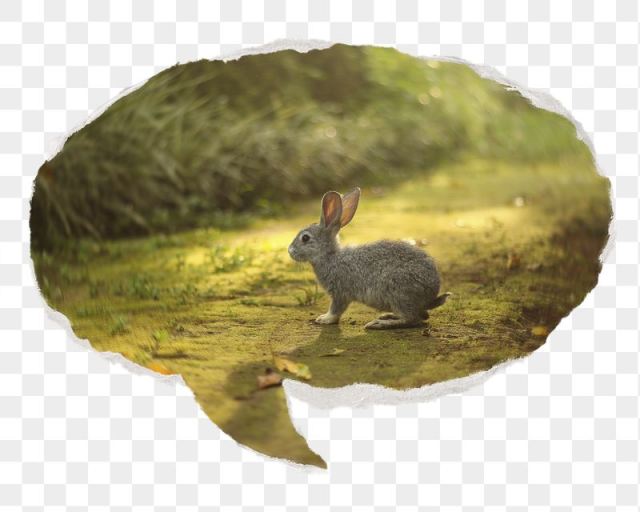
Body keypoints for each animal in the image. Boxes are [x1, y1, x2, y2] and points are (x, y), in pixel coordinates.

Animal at [288, 187, 450, 330]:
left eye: (305, 238)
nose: (290, 251)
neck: (330, 256)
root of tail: (431, 294)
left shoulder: (341, 292)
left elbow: (336, 309)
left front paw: (324, 319)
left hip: (399, 292)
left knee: (414, 319)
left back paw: (380, 324)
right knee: (422, 315)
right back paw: (387, 316)